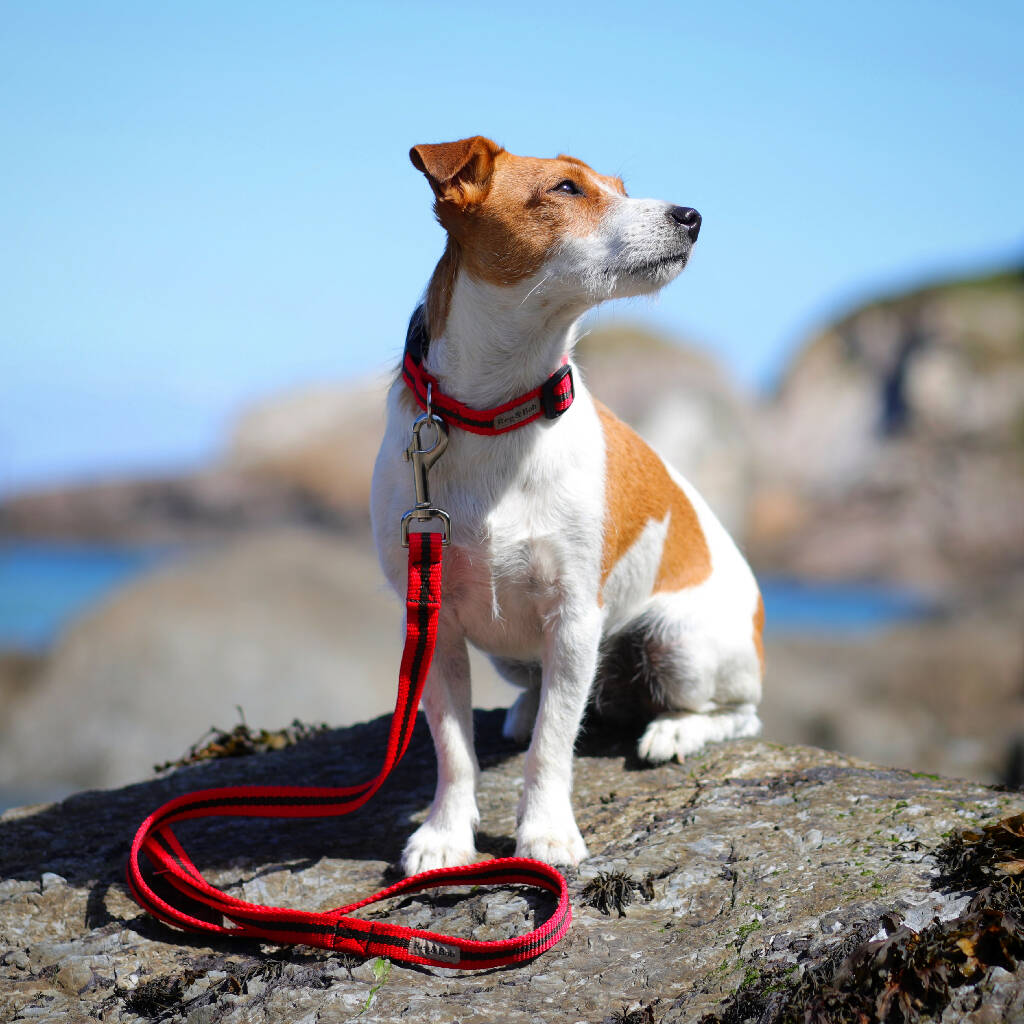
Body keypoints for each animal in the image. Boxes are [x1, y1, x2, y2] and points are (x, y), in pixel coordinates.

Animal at [372, 136, 765, 872]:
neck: (499, 411)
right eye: (565, 188)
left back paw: (674, 731)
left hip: (678, 642)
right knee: (535, 691)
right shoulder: (434, 620)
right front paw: (445, 834)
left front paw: (546, 831)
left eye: (621, 186)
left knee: (738, 712)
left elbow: (554, 745)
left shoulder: (576, 615)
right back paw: (525, 709)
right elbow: (453, 748)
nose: (692, 215)